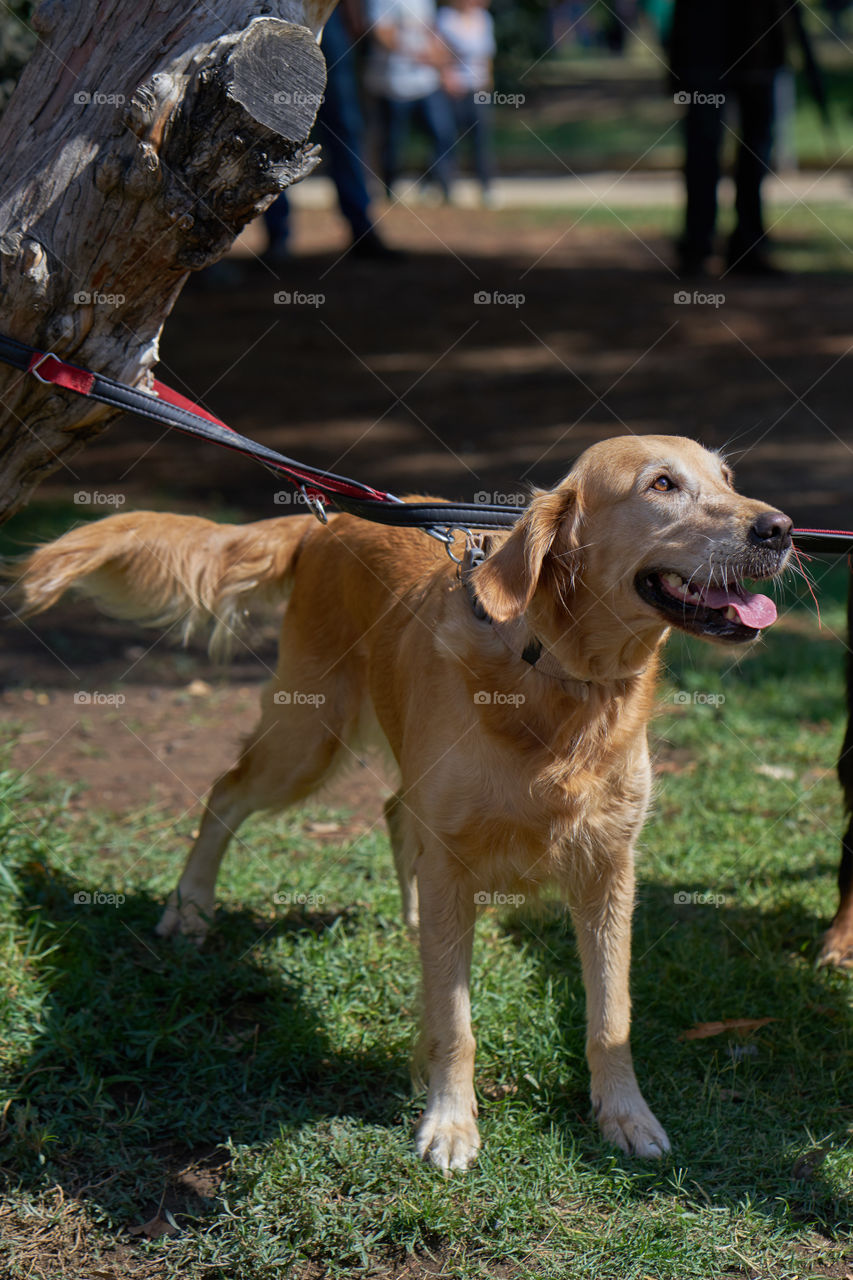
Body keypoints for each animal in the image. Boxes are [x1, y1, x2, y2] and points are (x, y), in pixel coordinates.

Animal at [14, 437, 788, 1172]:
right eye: (662, 484)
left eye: (725, 478)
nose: (779, 528)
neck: (558, 678)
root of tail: (330, 517)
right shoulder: (457, 849)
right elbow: (454, 1022)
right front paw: (449, 1123)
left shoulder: (608, 871)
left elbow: (610, 1018)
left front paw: (624, 1117)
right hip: (306, 738)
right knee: (226, 792)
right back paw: (192, 907)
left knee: (392, 814)